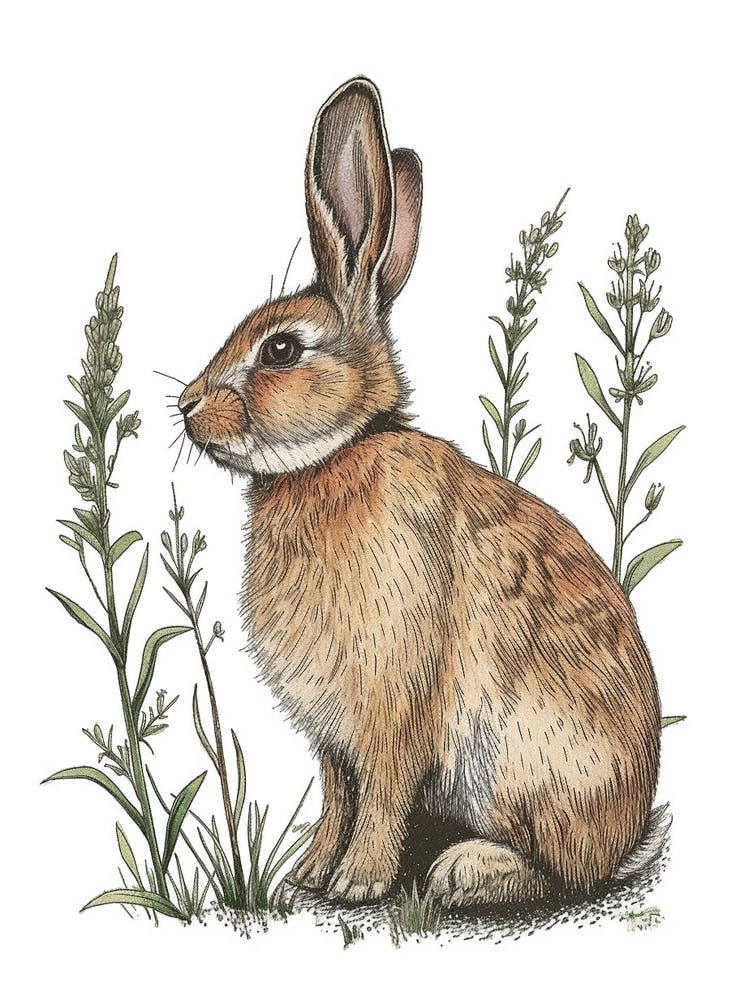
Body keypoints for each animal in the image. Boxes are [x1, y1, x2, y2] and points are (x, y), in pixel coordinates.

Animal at [177, 76, 664, 907]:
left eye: (281, 349)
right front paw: (310, 873)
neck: (336, 455)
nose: (184, 406)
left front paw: (357, 883)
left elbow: (378, 793)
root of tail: (628, 828)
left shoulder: (392, 700)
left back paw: (464, 871)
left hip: (525, 764)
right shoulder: (332, 735)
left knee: (559, 874)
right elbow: (337, 794)